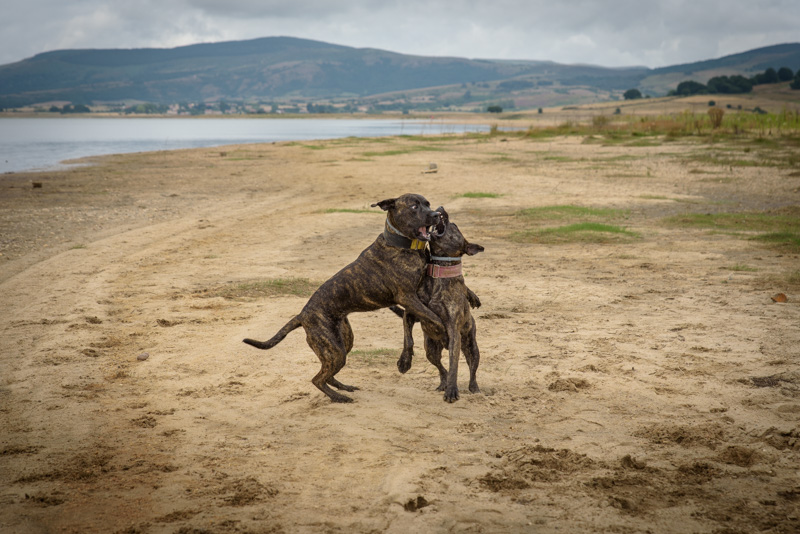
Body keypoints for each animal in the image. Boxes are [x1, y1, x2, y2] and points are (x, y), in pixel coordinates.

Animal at [241, 195, 446, 404]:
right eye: (414, 207)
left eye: (428, 204)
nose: (436, 215)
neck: (402, 245)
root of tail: (302, 315)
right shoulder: (407, 296)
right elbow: (434, 317)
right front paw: (442, 333)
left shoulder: (415, 297)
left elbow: (417, 325)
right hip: (334, 350)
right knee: (317, 379)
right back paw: (338, 397)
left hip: (342, 342)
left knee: (327, 374)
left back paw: (344, 387)